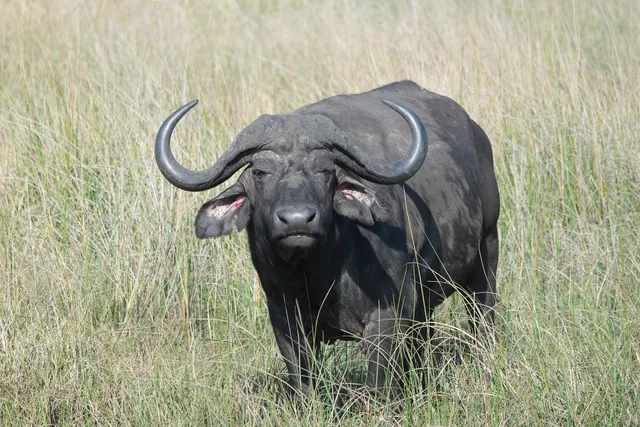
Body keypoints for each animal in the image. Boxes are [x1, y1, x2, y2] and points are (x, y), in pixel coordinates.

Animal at [155, 80, 500, 398]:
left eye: (325, 170)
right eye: (260, 173)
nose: (297, 220)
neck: (317, 277)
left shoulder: (385, 319)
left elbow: (379, 386)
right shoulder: (285, 323)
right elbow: (302, 383)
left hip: (486, 256)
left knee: (482, 319)